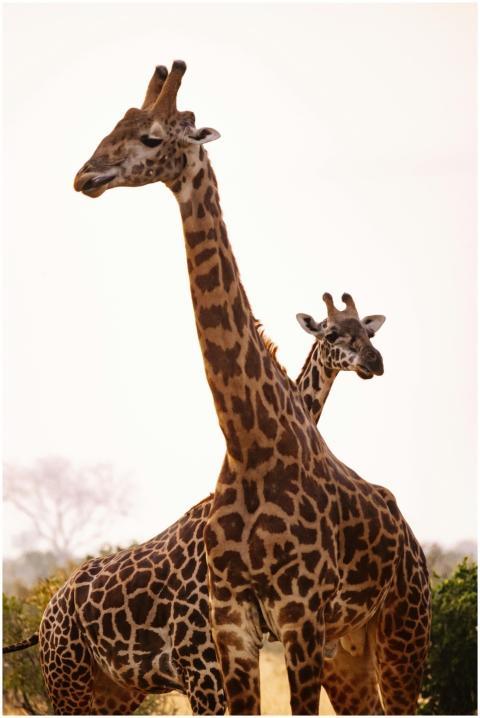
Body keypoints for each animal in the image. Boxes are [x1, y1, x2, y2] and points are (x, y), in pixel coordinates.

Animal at [3, 294, 389, 716]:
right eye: (332, 333)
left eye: (368, 332)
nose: (373, 362)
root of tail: (44, 619)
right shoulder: (201, 668)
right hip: (67, 680)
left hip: (112, 690)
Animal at [72, 61, 431, 715]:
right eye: (115, 124)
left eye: (152, 138)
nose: (86, 175)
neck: (249, 443)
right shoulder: (232, 623)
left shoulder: (299, 615)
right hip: (349, 648)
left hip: (400, 627)